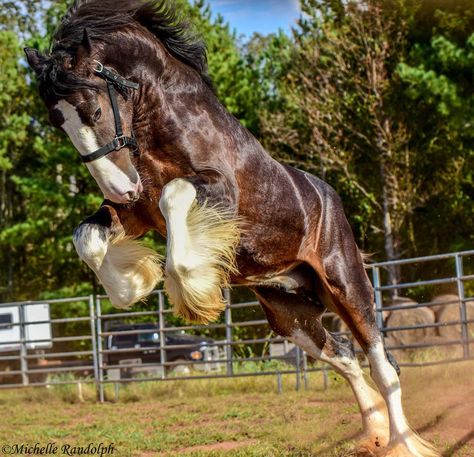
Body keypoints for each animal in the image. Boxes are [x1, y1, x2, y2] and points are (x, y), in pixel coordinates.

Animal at [25, 1, 440, 454]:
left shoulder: (218, 194)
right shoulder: (135, 215)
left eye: (95, 110)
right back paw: (374, 433)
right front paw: (131, 286)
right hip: (291, 315)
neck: (169, 126)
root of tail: (330, 199)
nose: (121, 188)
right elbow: (87, 237)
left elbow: (174, 199)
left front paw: (193, 295)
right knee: (345, 356)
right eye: (57, 123)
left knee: (382, 364)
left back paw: (404, 442)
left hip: (345, 285)